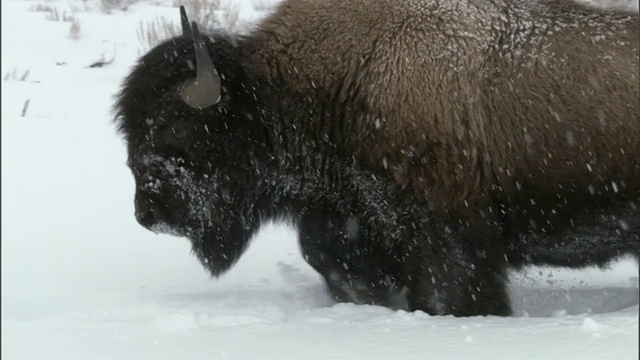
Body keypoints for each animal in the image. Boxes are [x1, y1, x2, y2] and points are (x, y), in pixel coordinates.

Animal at [112, 0, 636, 316]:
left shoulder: (446, 228)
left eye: (175, 128)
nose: (147, 214)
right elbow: (327, 256)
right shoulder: (350, 214)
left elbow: (450, 287)